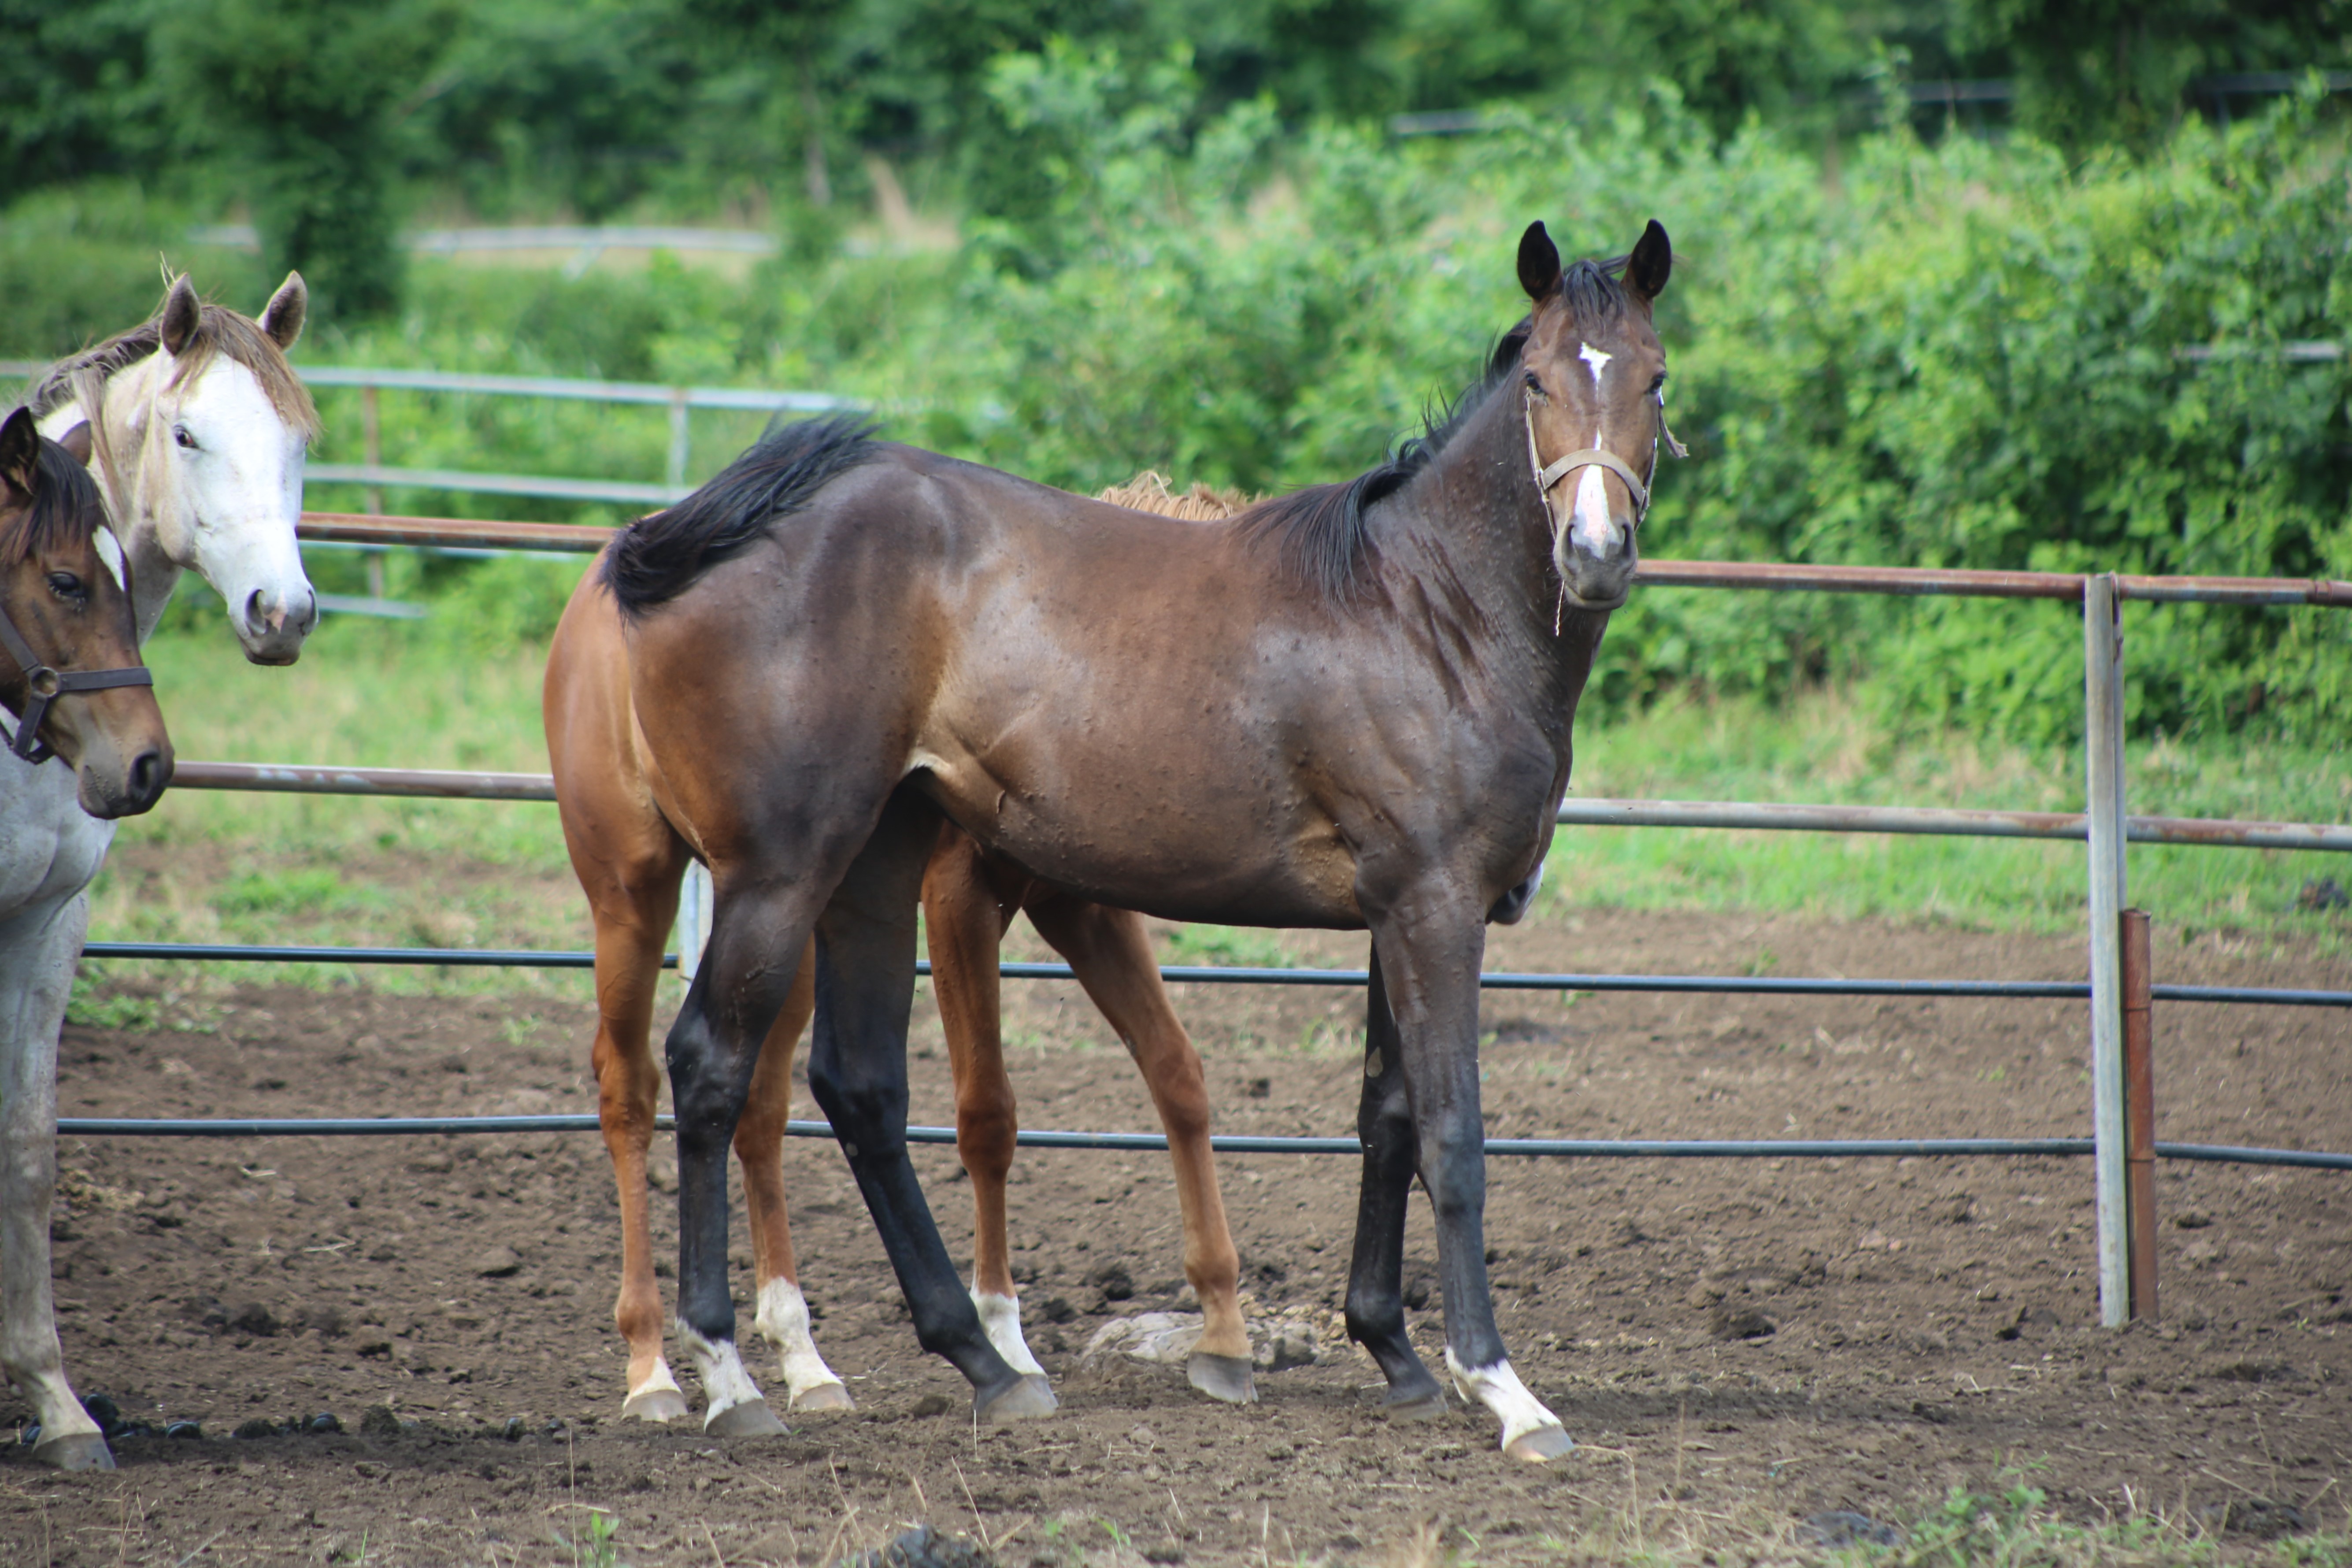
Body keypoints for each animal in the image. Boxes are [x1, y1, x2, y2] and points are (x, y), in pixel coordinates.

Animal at [3, 272, 317, 1476]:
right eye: (188, 435)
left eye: (300, 439)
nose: (284, 612)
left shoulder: (49, 922)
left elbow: (29, 1150)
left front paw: (55, 1404)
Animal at [543, 472, 1270, 1429]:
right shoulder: (959, 899)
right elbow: (986, 1114)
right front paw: (1004, 1337)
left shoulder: (1079, 906)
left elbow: (1175, 1073)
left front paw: (1222, 1323)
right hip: (631, 892)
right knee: (628, 1087)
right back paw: (655, 1366)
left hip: (789, 926)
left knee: (758, 1105)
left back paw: (802, 1360)